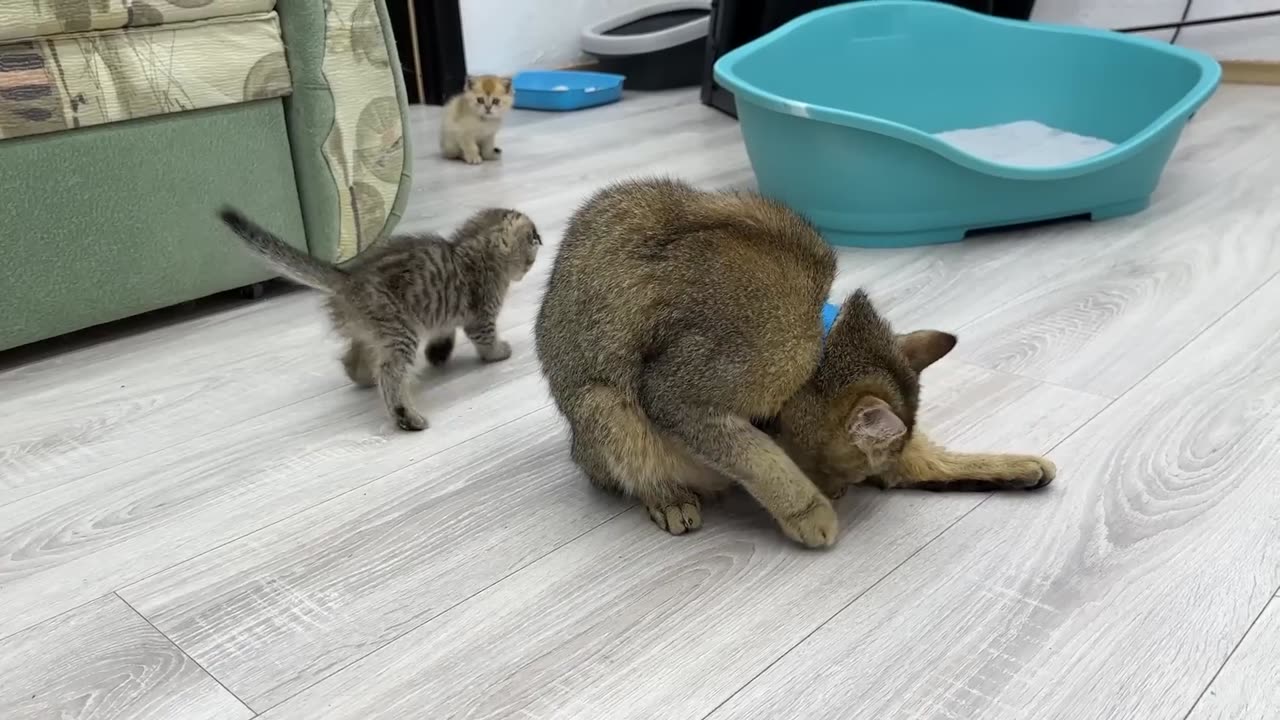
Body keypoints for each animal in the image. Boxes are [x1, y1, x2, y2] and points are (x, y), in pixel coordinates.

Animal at [220, 204, 540, 427]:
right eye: (533, 244)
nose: (538, 250)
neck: (475, 249)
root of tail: (349, 280)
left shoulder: (441, 316)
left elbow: (443, 335)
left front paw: (438, 355)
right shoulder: (481, 315)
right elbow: (486, 339)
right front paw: (499, 352)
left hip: (375, 332)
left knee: (353, 362)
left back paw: (365, 378)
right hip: (400, 332)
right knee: (390, 373)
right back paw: (406, 417)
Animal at [535, 178, 1054, 543]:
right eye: (850, 471)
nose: (845, 490)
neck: (819, 344)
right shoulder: (680, 395)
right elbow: (762, 459)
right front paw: (810, 512)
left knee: (919, 465)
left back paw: (1023, 468)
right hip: (604, 406)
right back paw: (669, 498)